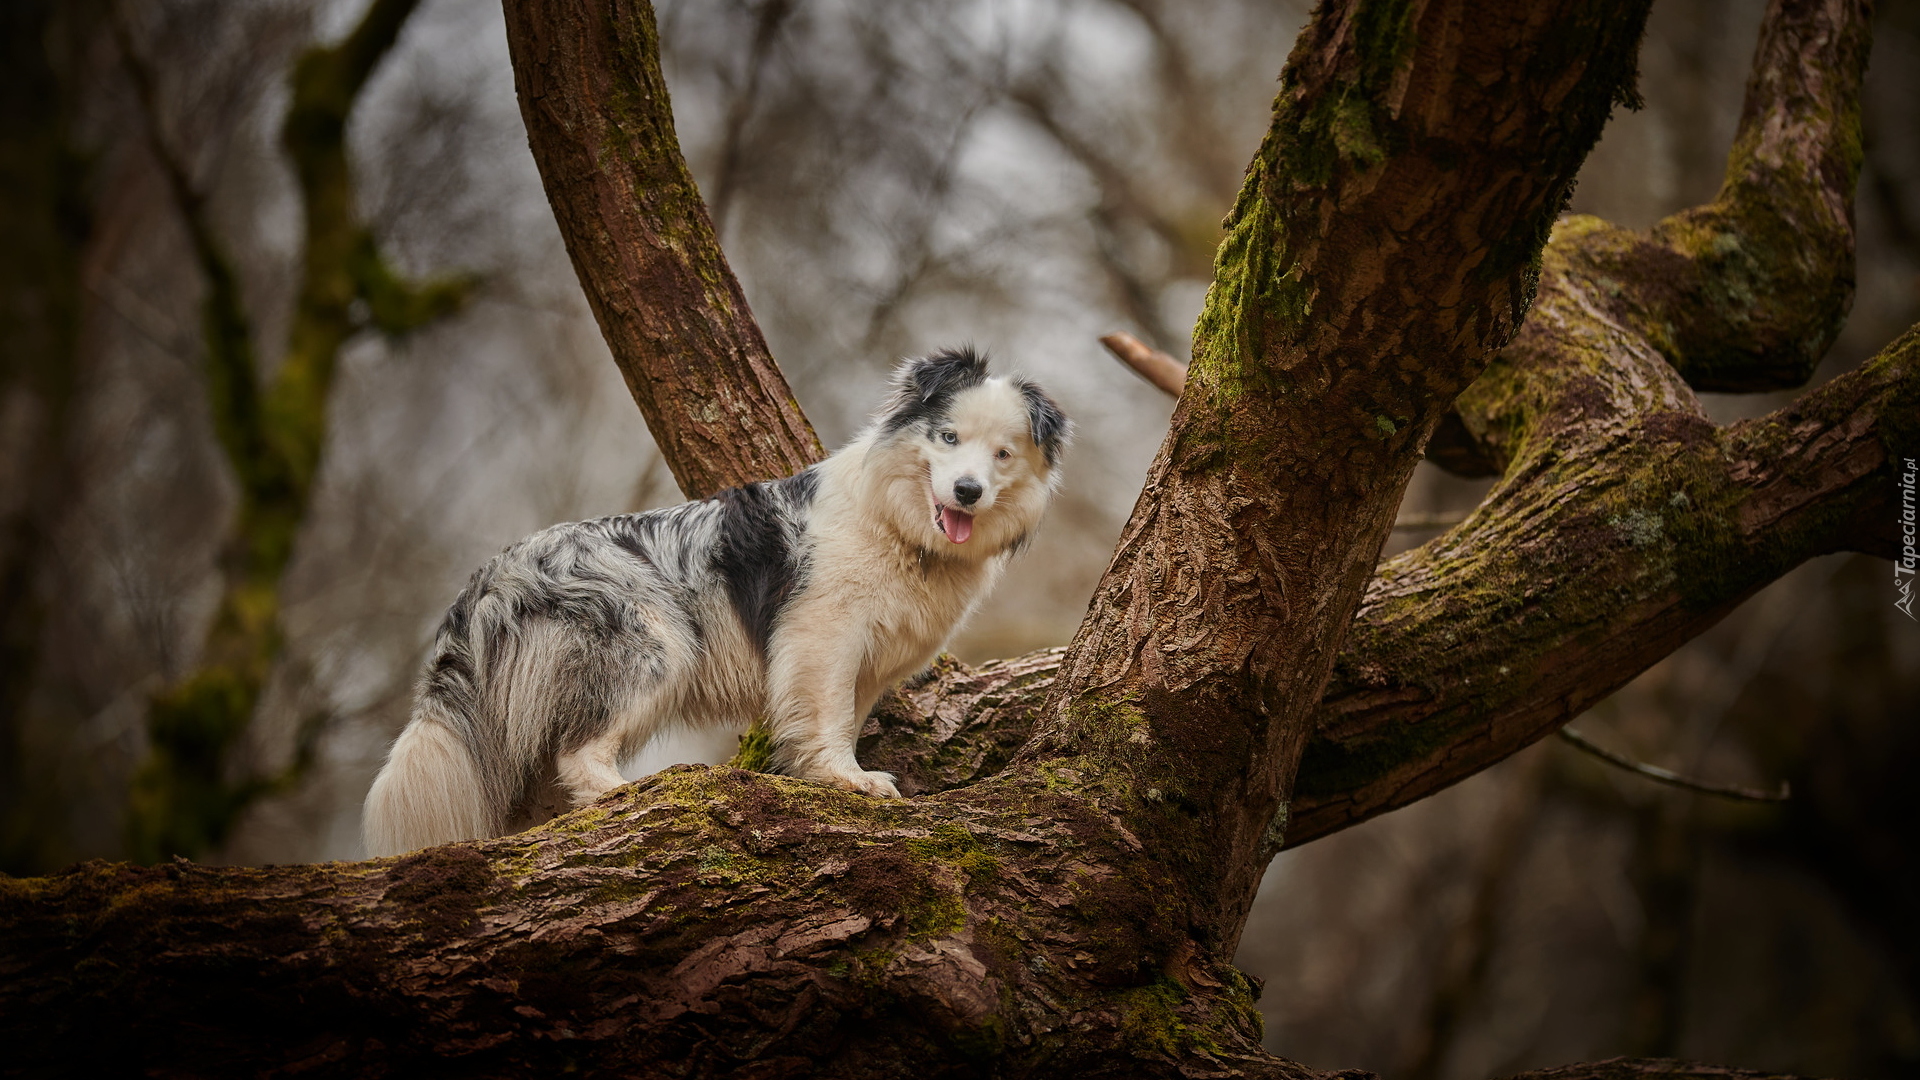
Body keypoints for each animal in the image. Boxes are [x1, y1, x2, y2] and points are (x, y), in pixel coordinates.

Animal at [360, 349, 1067, 853]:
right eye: (947, 437)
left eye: (1003, 454)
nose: (969, 490)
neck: (902, 529)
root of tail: (492, 576)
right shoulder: (821, 636)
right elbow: (827, 717)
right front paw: (849, 779)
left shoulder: (866, 662)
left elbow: (841, 718)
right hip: (656, 646)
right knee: (579, 756)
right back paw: (630, 794)